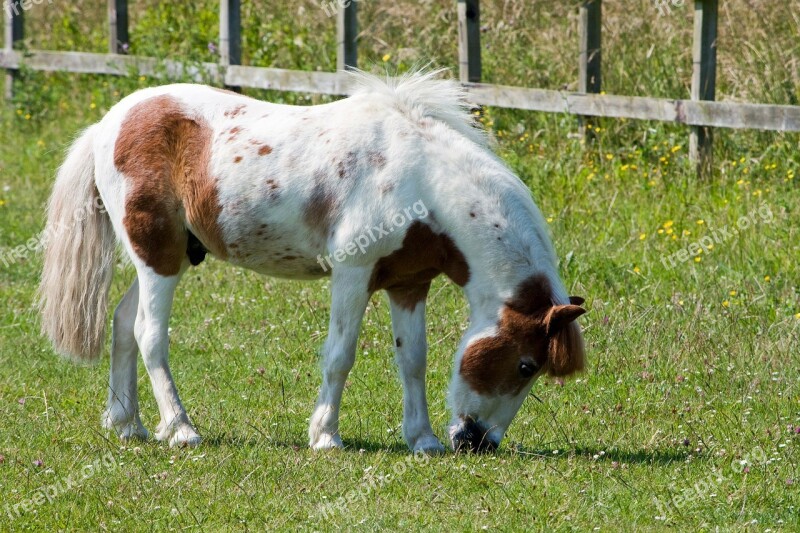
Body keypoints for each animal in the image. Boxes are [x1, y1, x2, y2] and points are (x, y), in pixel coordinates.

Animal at [39, 69, 588, 454]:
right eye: (525, 365)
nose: (477, 443)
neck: (421, 182)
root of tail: (108, 124)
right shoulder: (352, 273)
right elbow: (339, 355)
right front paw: (326, 436)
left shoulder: (409, 283)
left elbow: (412, 358)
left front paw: (423, 439)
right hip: (157, 257)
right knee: (149, 335)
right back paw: (180, 430)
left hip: (165, 258)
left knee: (122, 323)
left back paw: (128, 424)